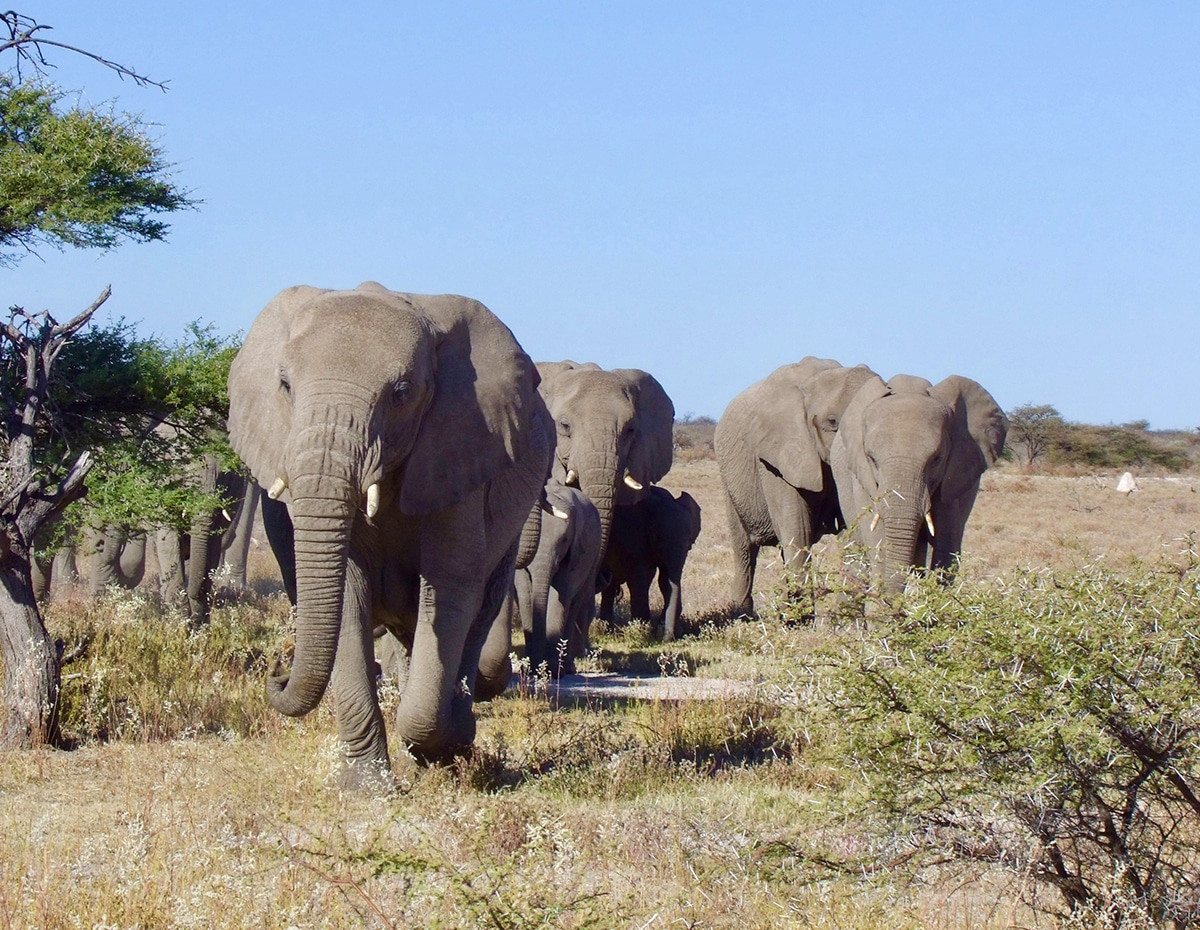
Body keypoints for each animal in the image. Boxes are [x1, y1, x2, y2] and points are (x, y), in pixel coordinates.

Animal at [227, 282, 552, 783]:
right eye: (284, 386)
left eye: (402, 394)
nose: (276, 671)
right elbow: (346, 592)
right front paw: (369, 787)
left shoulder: (458, 450)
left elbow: (451, 587)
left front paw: (434, 747)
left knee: (479, 609)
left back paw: (457, 729)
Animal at [598, 485, 702, 642]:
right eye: (658, 537)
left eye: (690, 541)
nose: (665, 640)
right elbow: (641, 578)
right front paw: (642, 632)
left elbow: (664, 581)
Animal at [714, 358, 878, 614]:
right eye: (832, 422)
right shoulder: (774, 458)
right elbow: (797, 531)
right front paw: (799, 617)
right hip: (729, 481)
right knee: (745, 549)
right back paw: (742, 613)